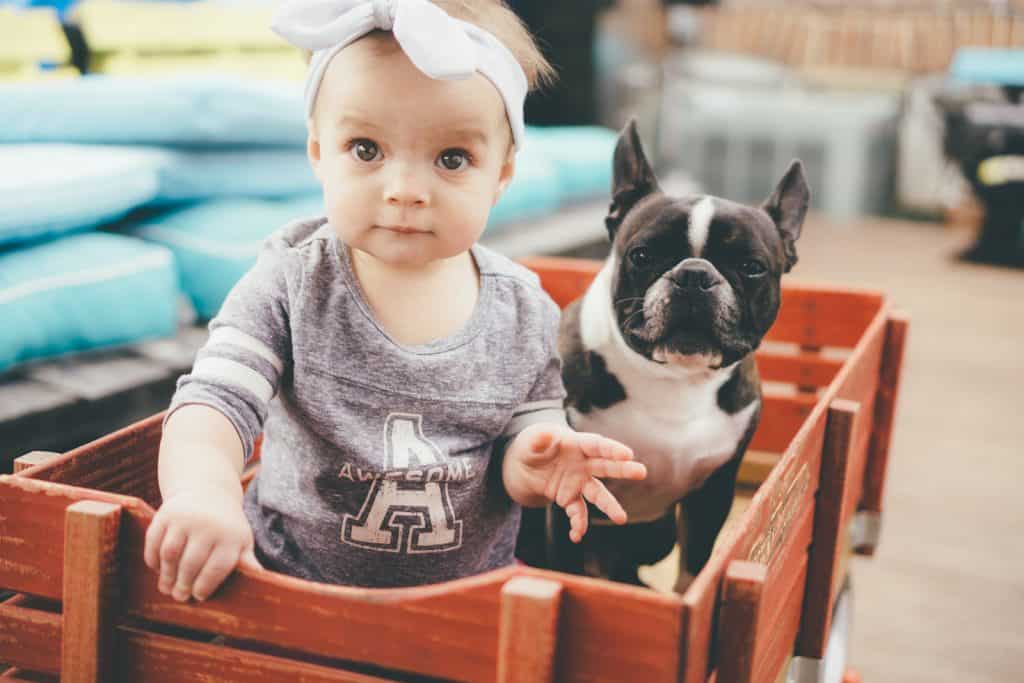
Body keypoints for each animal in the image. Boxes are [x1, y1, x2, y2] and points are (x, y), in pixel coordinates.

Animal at [516, 120, 811, 589]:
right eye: (642, 255)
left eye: (751, 267)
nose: (694, 275)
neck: (675, 379)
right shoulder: (567, 498)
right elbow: (570, 565)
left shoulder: (712, 494)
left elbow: (696, 564)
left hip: (659, 533)